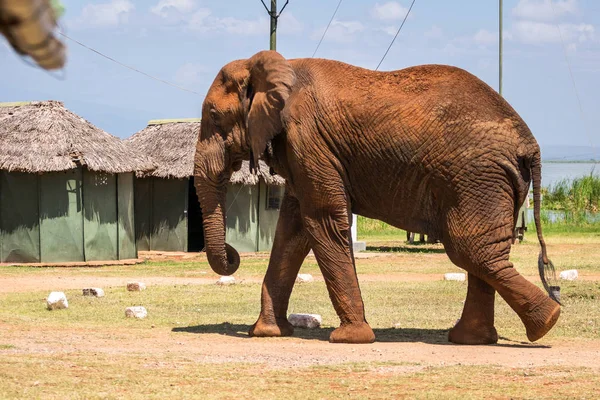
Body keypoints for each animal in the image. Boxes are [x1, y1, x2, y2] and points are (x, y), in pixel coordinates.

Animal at [193, 49, 564, 344]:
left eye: (213, 116)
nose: (233, 255)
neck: (273, 66)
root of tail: (529, 142)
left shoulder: (308, 139)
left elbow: (322, 220)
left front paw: (349, 338)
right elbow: (291, 232)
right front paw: (267, 333)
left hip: (475, 177)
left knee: (471, 250)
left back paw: (546, 322)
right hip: (486, 182)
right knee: (481, 253)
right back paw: (477, 338)